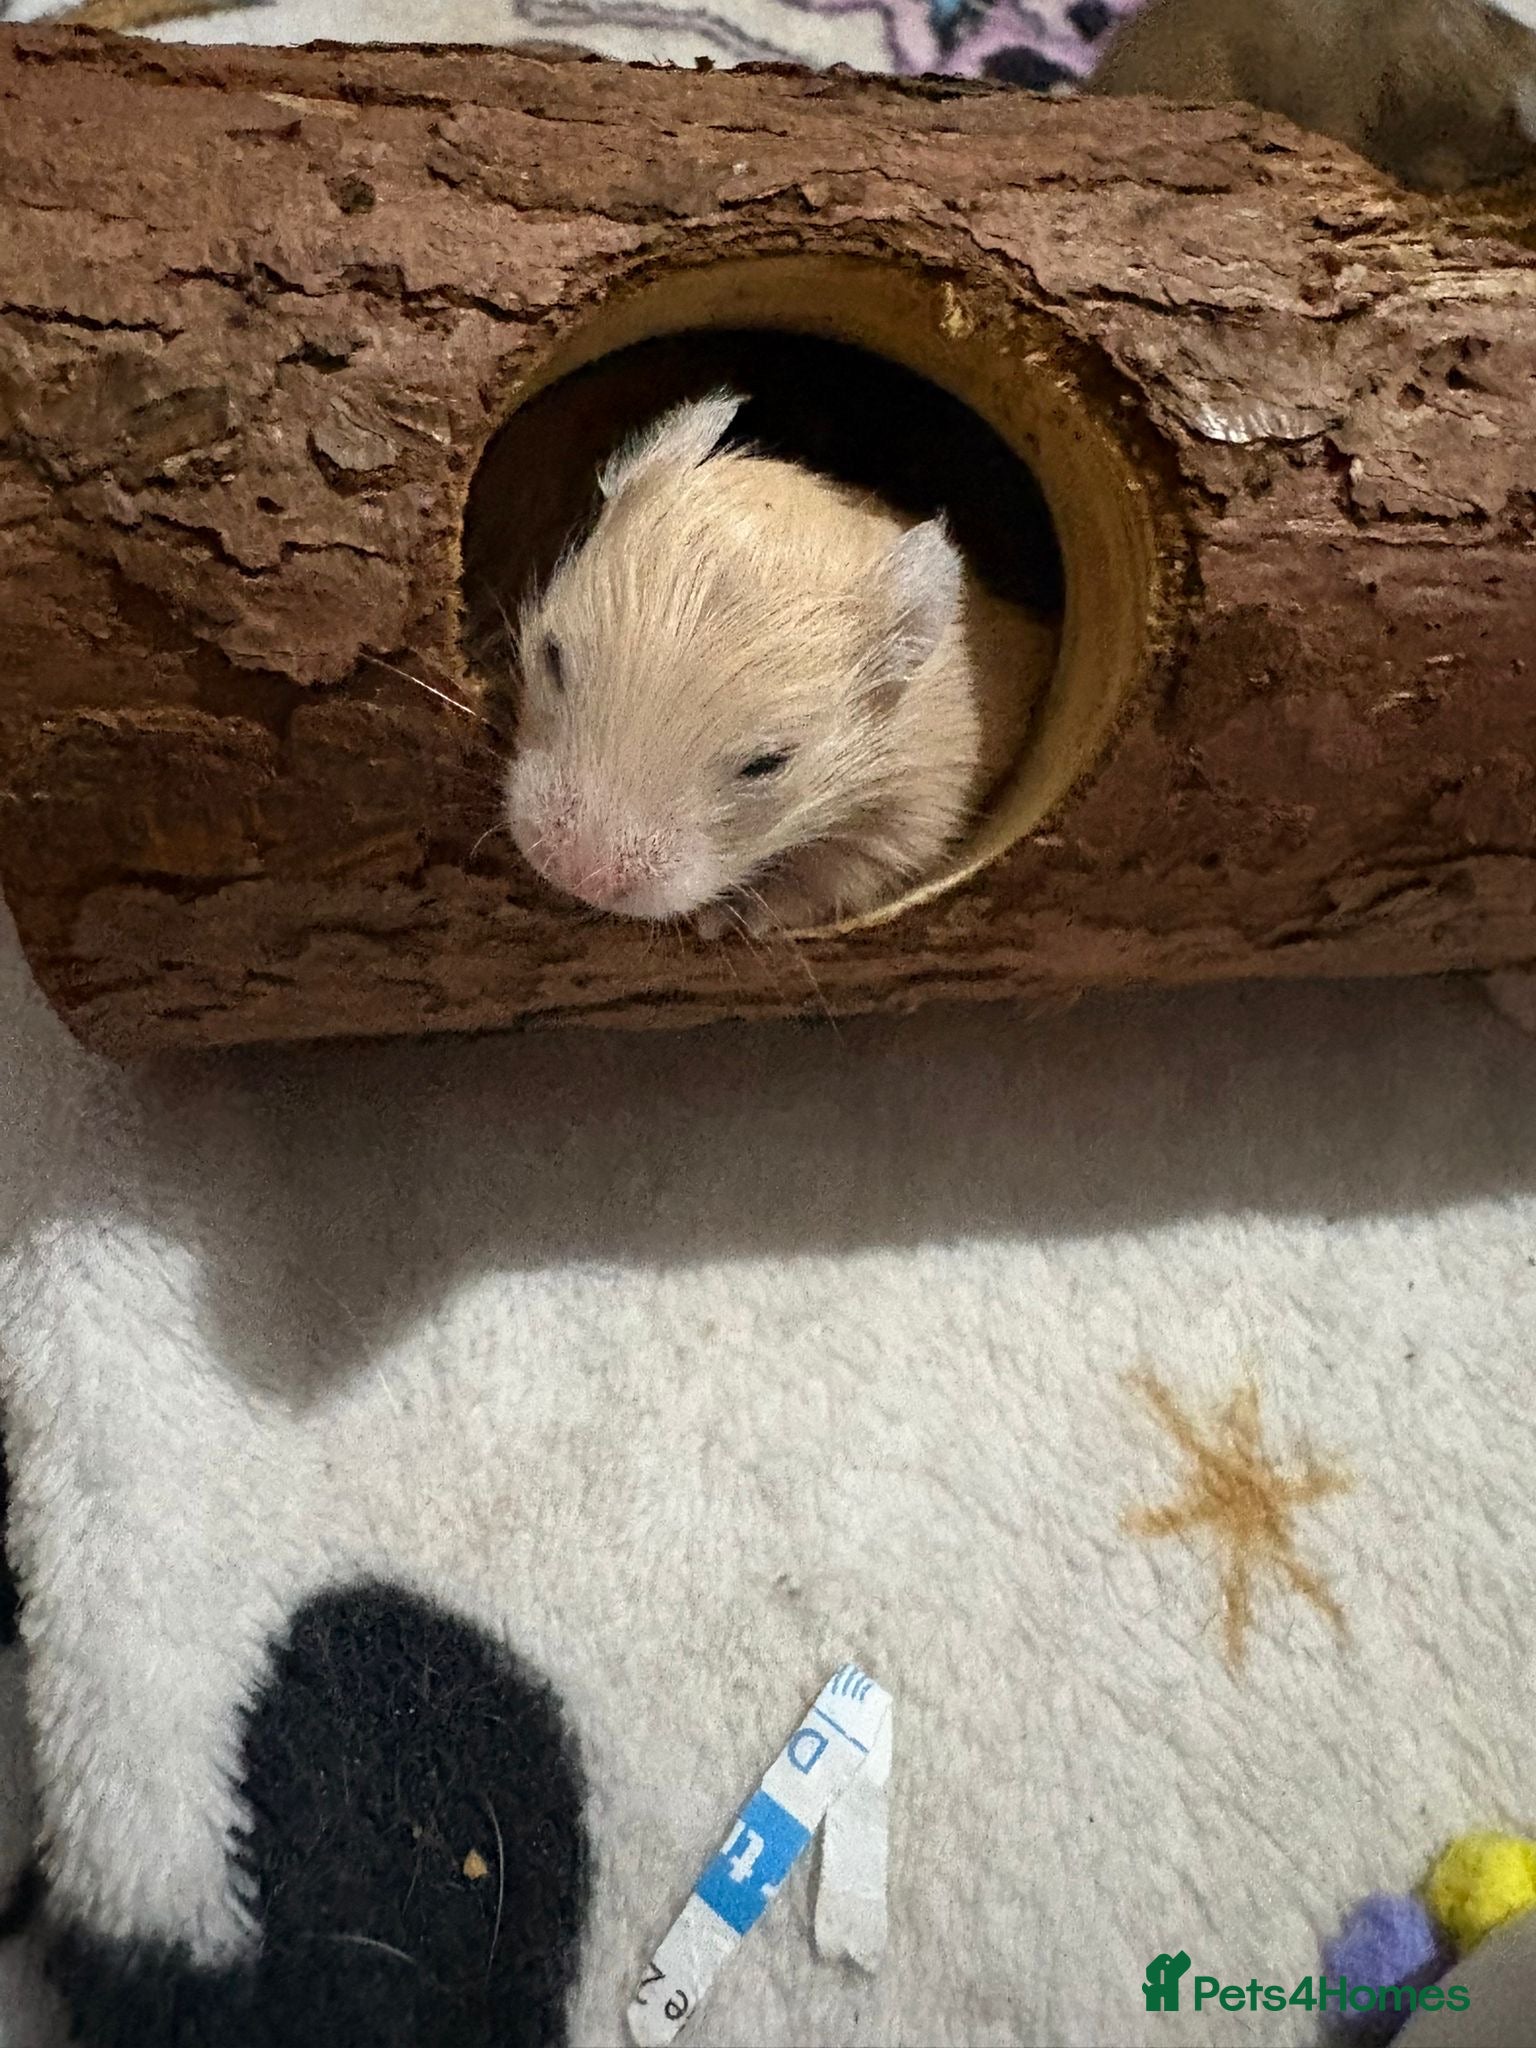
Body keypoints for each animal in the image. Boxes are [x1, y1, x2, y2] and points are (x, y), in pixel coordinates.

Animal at [500, 394, 1048, 935]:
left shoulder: (920, 809)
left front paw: (722, 921)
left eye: (768, 764)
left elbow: (834, 876)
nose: (576, 878)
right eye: (552, 658)